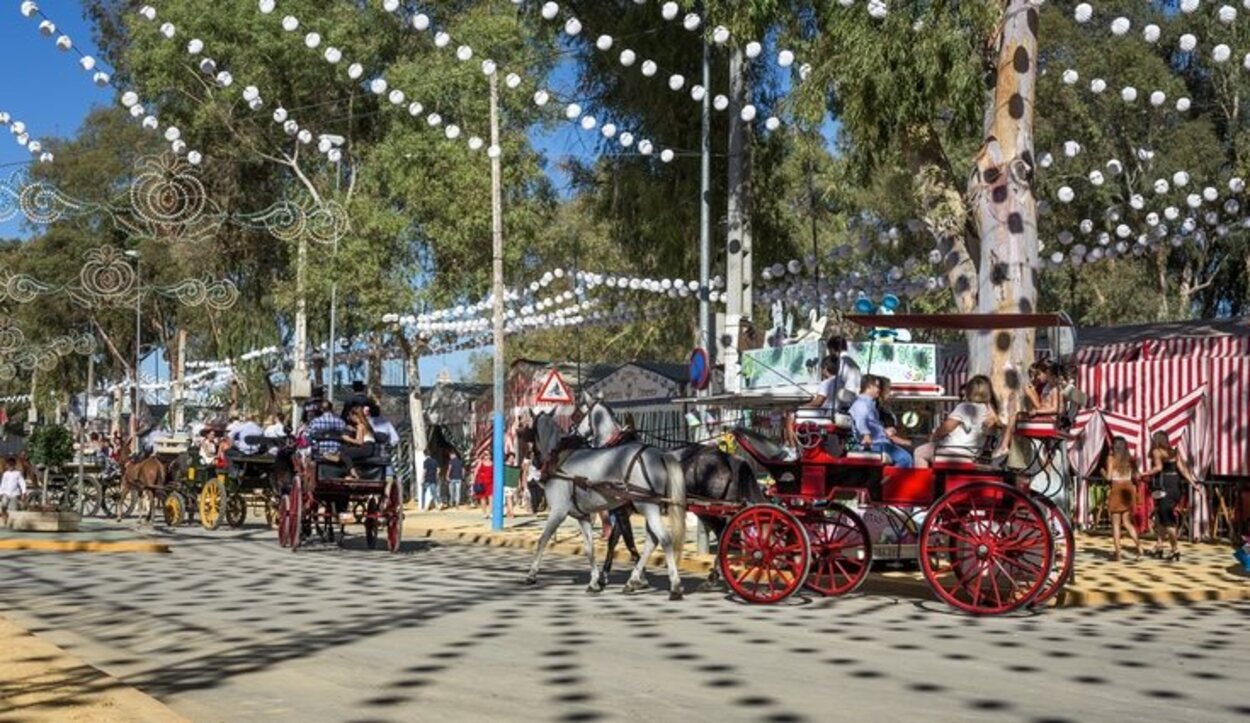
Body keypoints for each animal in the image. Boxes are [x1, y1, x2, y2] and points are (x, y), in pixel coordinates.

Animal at [525, 407, 690, 600]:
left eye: (531, 430)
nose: (534, 461)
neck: (559, 458)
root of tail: (659, 454)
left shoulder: (558, 511)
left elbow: (543, 540)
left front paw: (532, 574)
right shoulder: (583, 516)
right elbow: (589, 548)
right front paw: (594, 582)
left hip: (647, 507)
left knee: (664, 539)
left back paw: (674, 586)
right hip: (650, 507)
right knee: (652, 540)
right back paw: (632, 581)